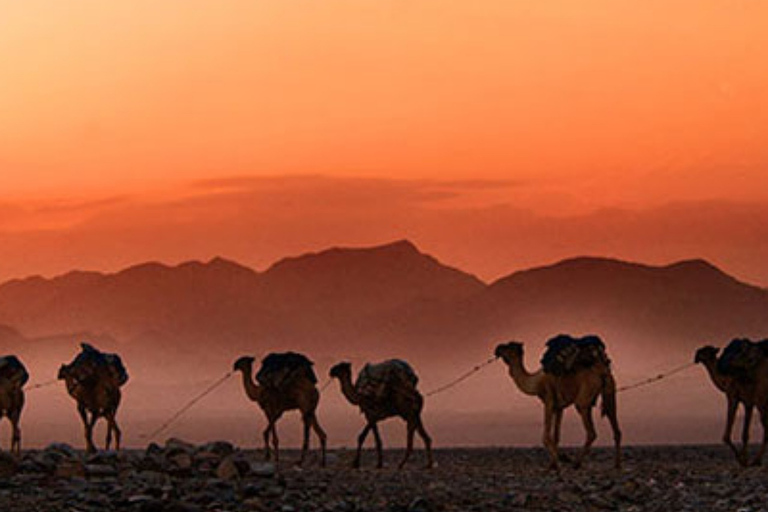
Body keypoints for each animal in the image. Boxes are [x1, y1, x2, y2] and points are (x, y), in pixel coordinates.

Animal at [496, 336, 620, 472]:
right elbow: (556, 436)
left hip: (583, 400)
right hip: (610, 392)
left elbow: (545, 436)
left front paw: (557, 463)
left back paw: (576, 463)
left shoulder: (548, 401)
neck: (535, 382)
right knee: (615, 426)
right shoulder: (559, 407)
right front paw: (553, 463)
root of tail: (602, 373)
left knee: (591, 432)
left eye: (508, 346)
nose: (497, 348)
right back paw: (617, 465)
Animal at [696, 340, 768, 468]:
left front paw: (741, 460)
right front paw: (745, 459)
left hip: (762, 398)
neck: (725, 378)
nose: (696, 354)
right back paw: (756, 460)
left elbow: (726, 436)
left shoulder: (732, 395)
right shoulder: (748, 402)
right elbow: (745, 434)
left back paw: (757, 460)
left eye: (706, 350)